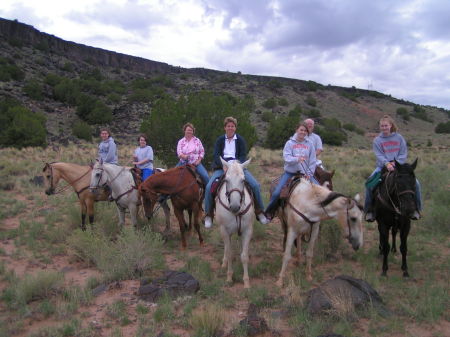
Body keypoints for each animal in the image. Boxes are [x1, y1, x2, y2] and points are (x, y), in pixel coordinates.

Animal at [215, 159, 255, 288]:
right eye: (227, 180)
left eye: (243, 180)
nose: (234, 207)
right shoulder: (224, 230)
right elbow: (229, 254)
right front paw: (229, 277)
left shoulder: (247, 230)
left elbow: (244, 256)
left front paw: (246, 282)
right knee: (227, 248)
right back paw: (224, 263)